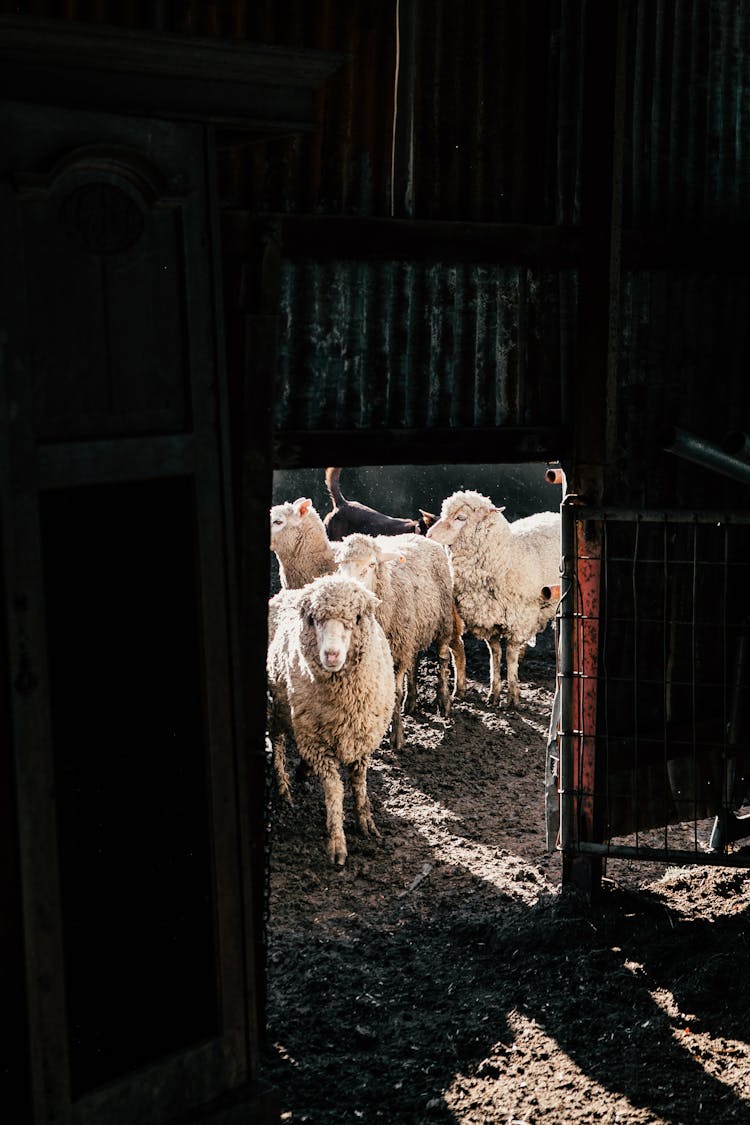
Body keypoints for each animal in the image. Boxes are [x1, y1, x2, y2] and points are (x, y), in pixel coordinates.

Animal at [269, 576, 398, 864]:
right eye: (314, 619)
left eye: (356, 618)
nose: (331, 654)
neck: (345, 700)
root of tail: (286, 594)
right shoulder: (318, 746)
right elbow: (334, 791)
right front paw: (338, 843)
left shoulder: (362, 740)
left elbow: (359, 784)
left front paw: (366, 823)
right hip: (275, 707)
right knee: (278, 743)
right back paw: (283, 789)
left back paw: (302, 772)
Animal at [335, 526, 458, 747]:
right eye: (340, 565)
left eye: (372, 564)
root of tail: (420, 536)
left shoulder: (399, 652)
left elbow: (395, 692)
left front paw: (397, 736)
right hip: (413, 631)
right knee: (414, 661)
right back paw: (411, 701)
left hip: (443, 623)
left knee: (443, 659)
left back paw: (444, 702)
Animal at [425, 490, 559, 702]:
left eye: (461, 518)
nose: (428, 535)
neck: (505, 555)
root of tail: (554, 514)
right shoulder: (489, 619)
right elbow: (494, 654)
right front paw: (494, 694)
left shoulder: (517, 619)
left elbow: (510, 655)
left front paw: (512, 697)